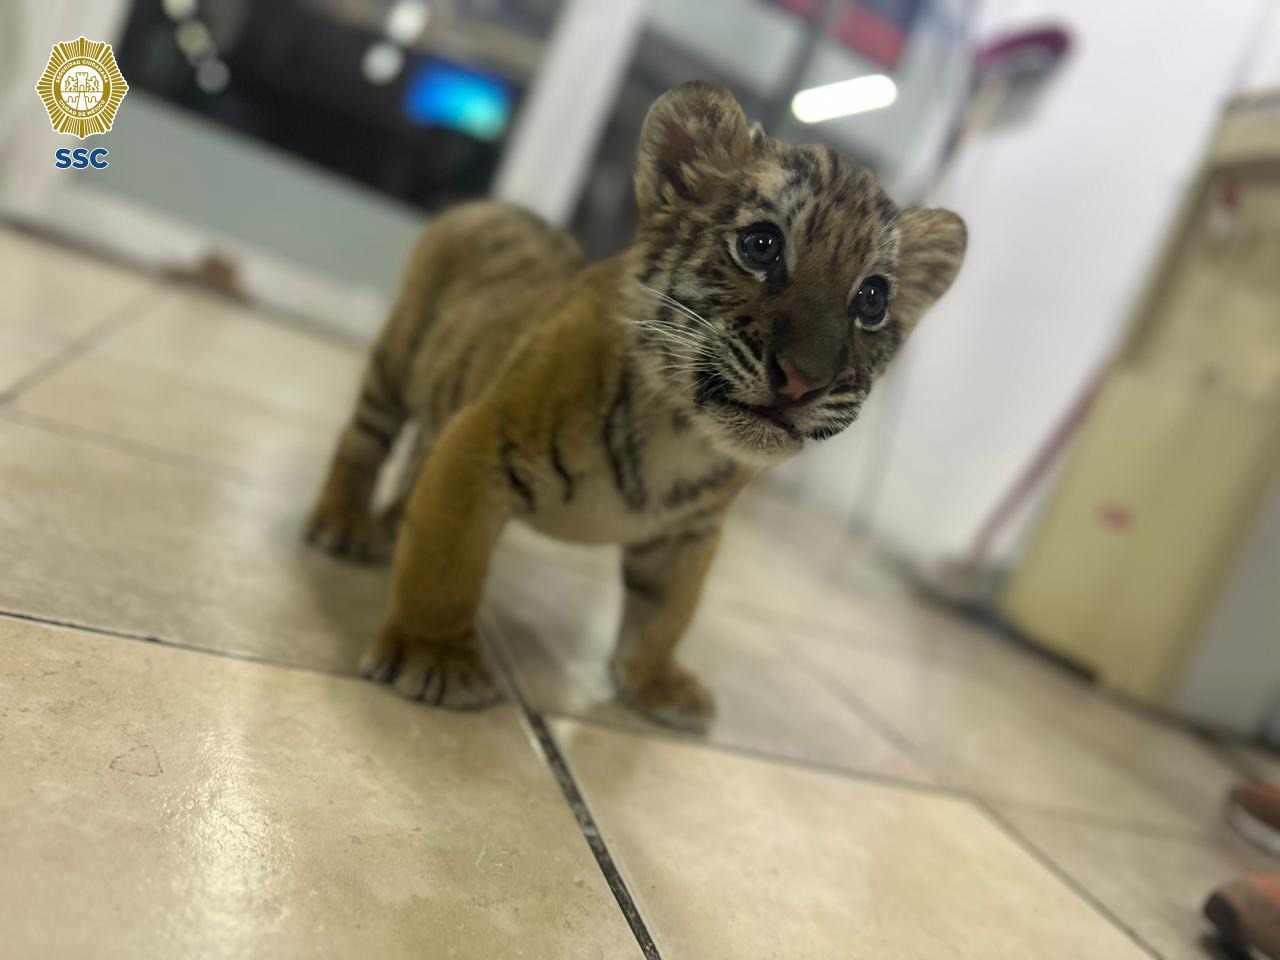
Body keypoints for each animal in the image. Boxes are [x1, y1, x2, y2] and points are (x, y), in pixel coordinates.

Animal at [305, 81, 966, 731]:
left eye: (873, 299)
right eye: (761, 246)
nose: (804, 379)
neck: (682, 430)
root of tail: (495, 204)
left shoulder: (688, 534)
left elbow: (666, 614)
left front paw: (656, 684)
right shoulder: (477, 447)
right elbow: (446, 563)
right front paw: (436, 657)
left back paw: (389, 528)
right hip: (394, 365)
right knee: (363, 443)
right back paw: (344, 526)